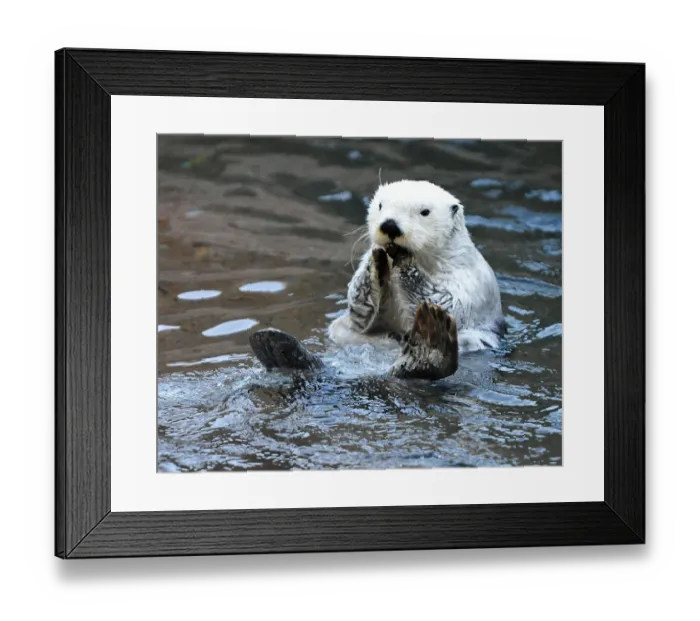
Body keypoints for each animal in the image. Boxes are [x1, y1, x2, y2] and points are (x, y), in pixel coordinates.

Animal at [249, 180, 506, 380]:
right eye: (381, 205)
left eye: (425, 212)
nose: (390, 225)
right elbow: (360, 306)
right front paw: (375, 260)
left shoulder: (468, 278)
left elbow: (450, 303)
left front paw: (406, 262)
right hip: (342, 333)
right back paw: (274, 346)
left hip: (471, 342)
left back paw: (432, 335)